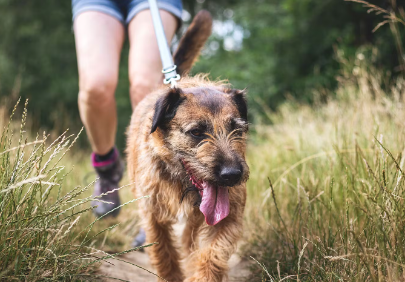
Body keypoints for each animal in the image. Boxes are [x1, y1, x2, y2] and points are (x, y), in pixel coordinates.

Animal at [124, 9, 248, 280]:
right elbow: (165, 255)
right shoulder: (152, 216)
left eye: (236, 129)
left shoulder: (228, 216)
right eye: (197, 132)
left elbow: (212, 254)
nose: (232, 174)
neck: (181, 182)